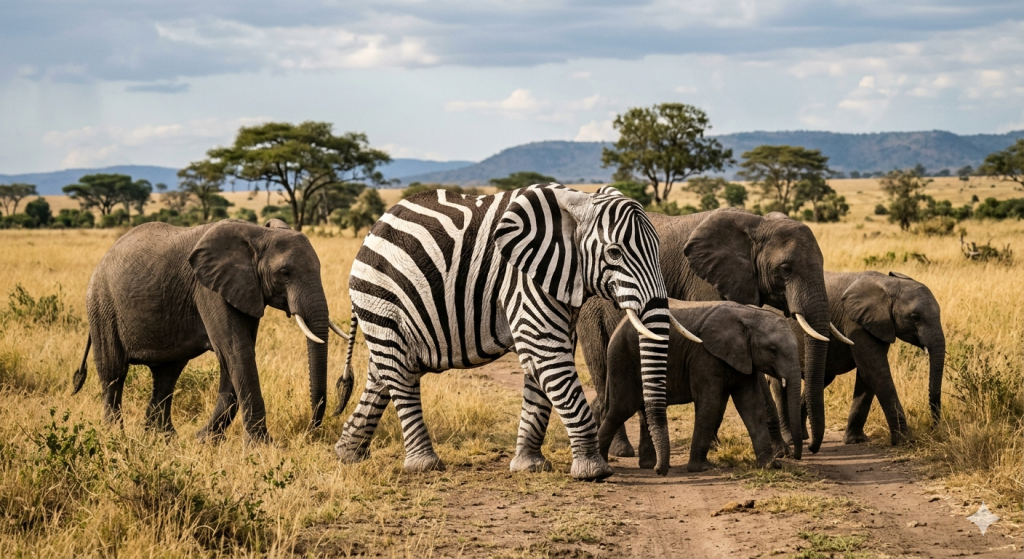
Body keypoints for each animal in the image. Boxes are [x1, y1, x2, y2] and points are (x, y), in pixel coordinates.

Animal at [71, 218, 346, 441]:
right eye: (285, 273)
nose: (309, 431)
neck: (258, 235)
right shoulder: (209, 289)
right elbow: (236, 351)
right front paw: (261, 446)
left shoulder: (245, 289)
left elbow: (236, 355)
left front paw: (204, 440)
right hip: (102, 306)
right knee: (114, 373)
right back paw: (115, 436)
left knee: (166, 375)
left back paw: (163, 439)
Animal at [333, 184, 696, 480]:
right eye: (614, 253)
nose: (660, 471)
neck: (577, 203)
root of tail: (373, 230)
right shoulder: (521, 280)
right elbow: (548, 355)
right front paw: (594, 473)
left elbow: (542, 367)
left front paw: (530, 467)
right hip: (381, 293)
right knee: (400, 370)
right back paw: (425, 466)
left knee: (383, 371)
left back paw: (347, 455)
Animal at [600, 301, 803, 471]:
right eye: (773, 350)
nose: (795, 456)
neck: (748, 314)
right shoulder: (704, 355)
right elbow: (709, 404)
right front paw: (701, 468)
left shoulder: (745, 358)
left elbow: (752, 406)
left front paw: (771, 465)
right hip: (623, 358)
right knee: (622, 408)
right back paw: (606, 466)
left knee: (641, 411)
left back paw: (650, 465)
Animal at [773, 271, 945, 446]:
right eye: (915, 317)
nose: (934, 428)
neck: (888, 283)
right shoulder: (855, 323)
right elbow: (876, 372)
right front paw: (905, 441)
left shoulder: (877, 325)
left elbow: (867, 375)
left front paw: (855, 440)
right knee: (780, 386)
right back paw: (790, 439)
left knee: (822, 379)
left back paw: (803, 436)